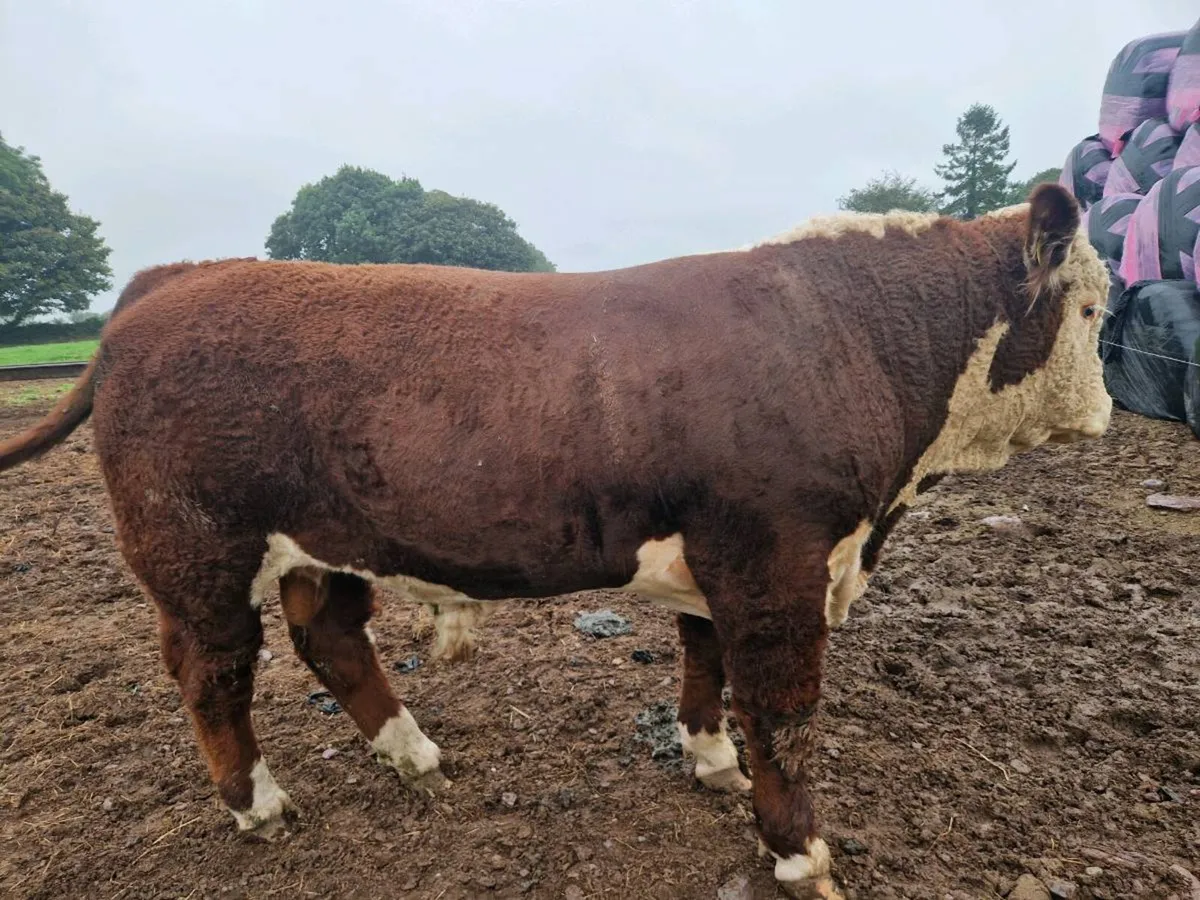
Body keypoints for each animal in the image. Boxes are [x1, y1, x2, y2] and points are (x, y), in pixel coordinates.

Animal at [0, 183, 1111, 898]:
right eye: (1097, 308)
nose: (1105, 413)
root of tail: (173, 280)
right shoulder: (778, 561)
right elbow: (786, 717)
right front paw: (802, 854)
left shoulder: (721, 560)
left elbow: (704, 660)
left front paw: (710, 759)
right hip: (196, 551)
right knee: (215, 673)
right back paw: (259, 805)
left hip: (328, 538)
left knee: (330, 635)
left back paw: (412, 753)